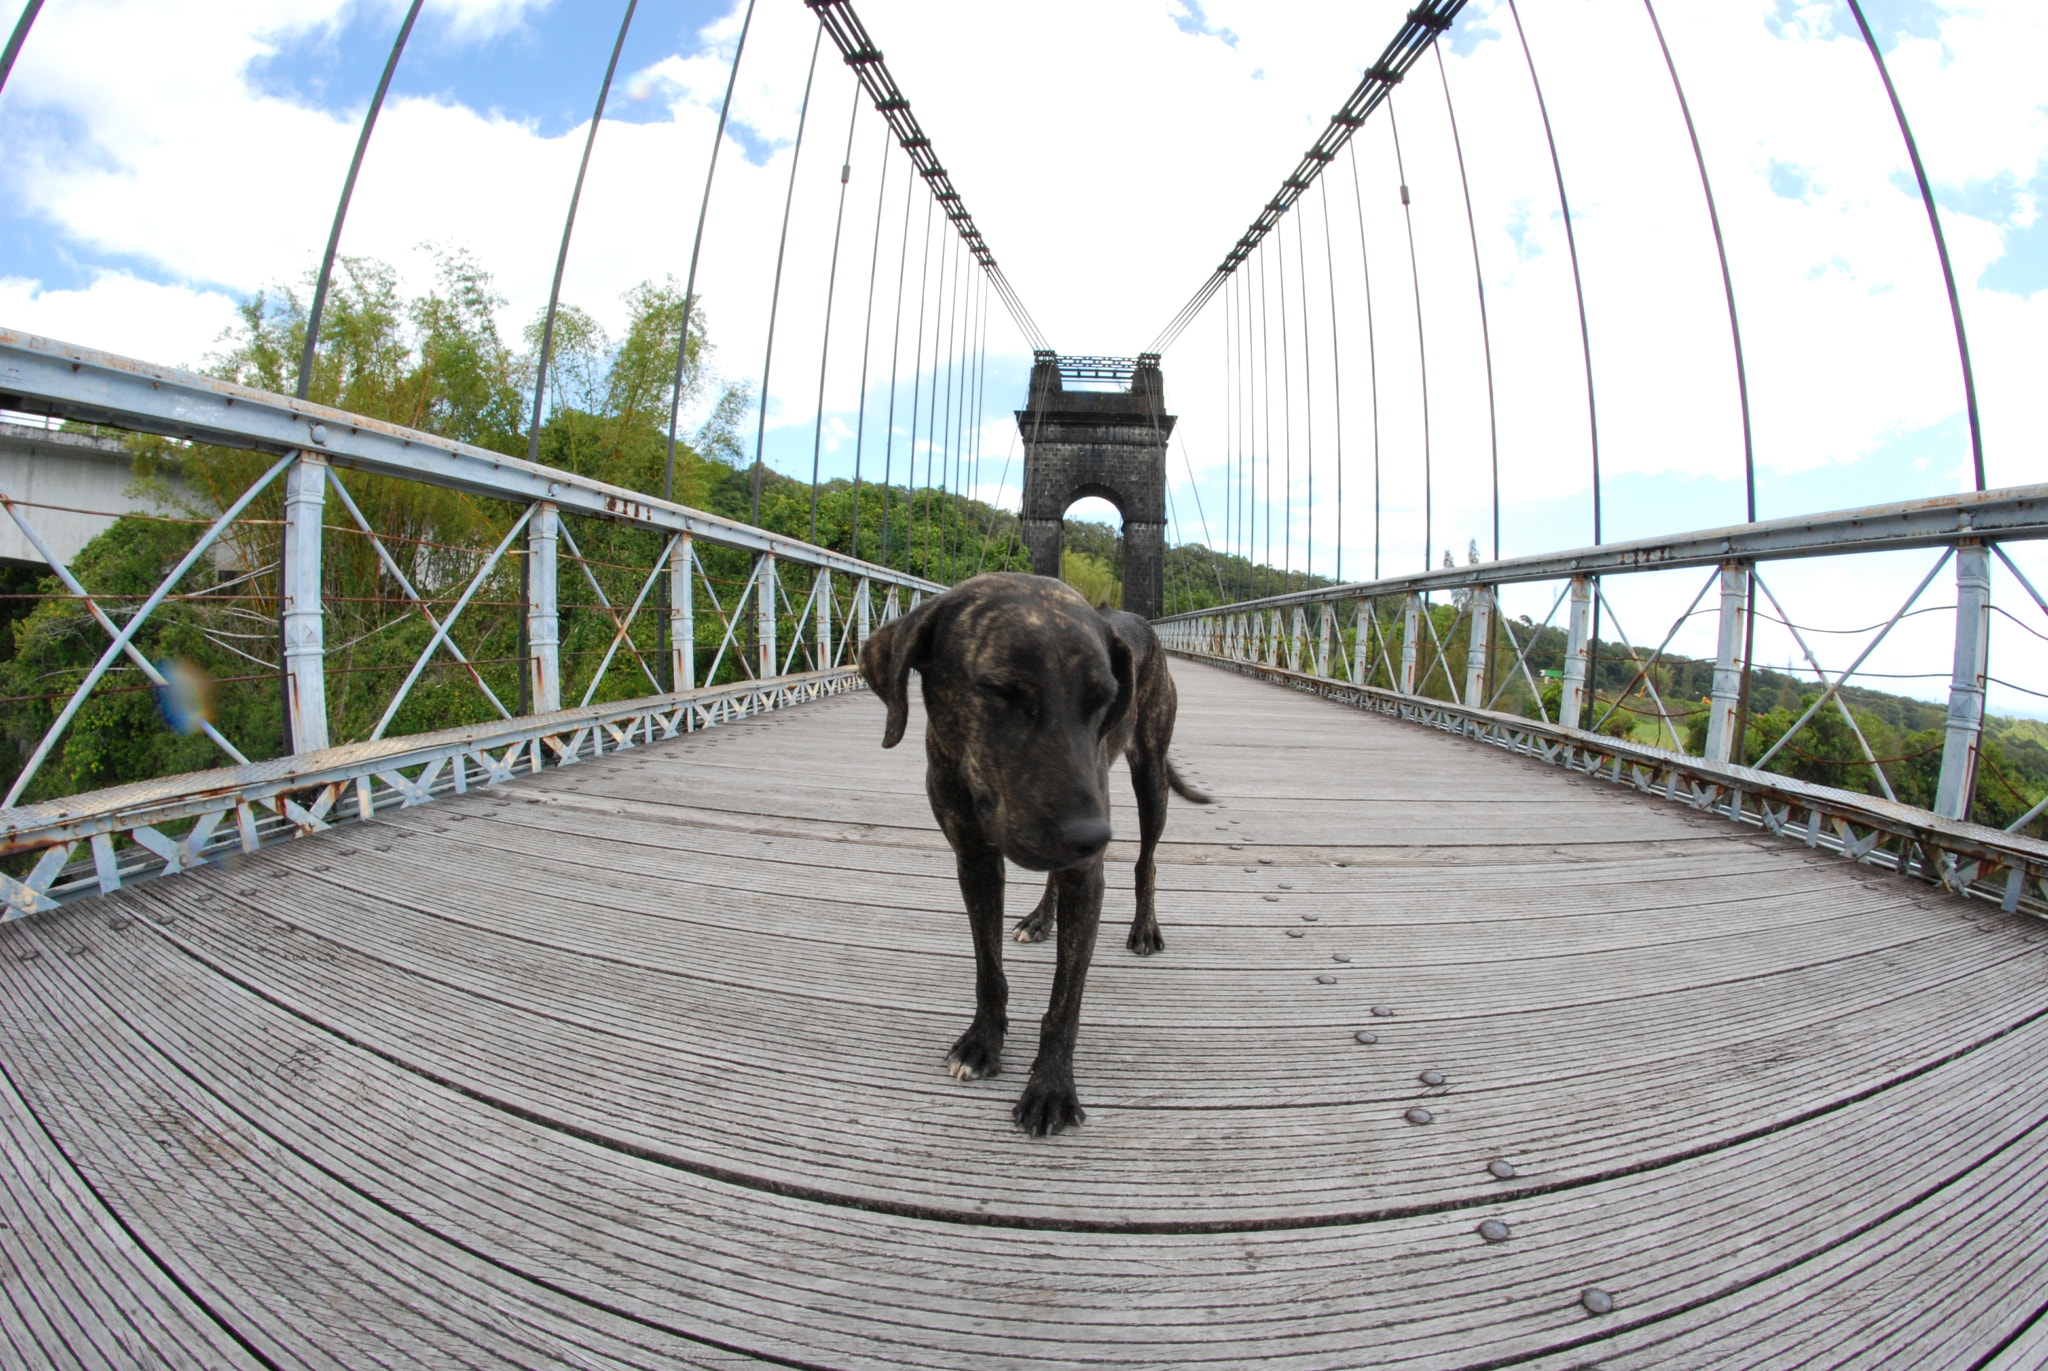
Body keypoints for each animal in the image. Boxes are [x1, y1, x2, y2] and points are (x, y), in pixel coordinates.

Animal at [856, 569, 1204, 1131]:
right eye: (1000, 691)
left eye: (1104, 698)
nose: (1091, 835)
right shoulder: (974, 862)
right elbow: (988, 968)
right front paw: (982, 1042)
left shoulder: (1088, 875)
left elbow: (1066, 999)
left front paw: (1051, 1086)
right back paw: (1042, 917)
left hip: (1151, 776)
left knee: (1146, 862)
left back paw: (1144, 928)